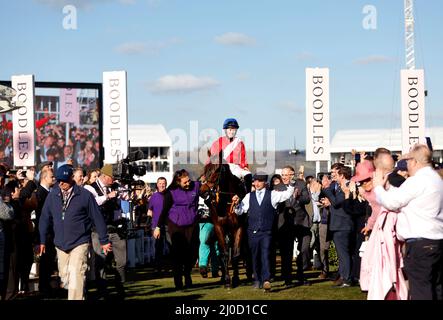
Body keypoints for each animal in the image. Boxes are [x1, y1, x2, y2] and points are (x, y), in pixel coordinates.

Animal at [200, 160, 248, 288]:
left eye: (215, 173)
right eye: (205, 172)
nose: (202, 191)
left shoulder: (239, 228)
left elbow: (236, 254)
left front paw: (235, 279)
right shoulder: (219, 228)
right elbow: (224, 254)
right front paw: (227, 280)